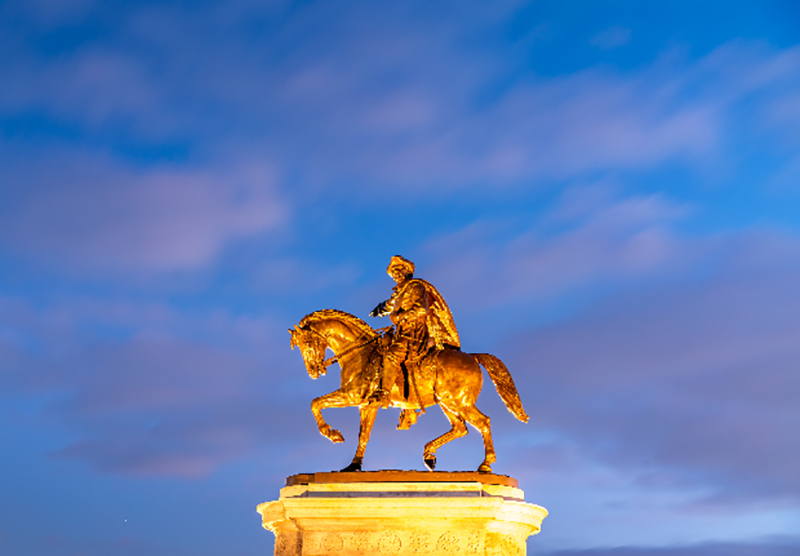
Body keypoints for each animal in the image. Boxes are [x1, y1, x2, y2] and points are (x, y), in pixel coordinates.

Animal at [290, 308, 528, 474]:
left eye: (307, 342)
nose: (313, 371)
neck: (360, 353)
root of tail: (473, 356)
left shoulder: (351, 395)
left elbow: (315, 403)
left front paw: (332, 434)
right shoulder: (367, 405)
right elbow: (363, 435)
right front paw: (354, 466)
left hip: (458, 402)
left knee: (483, 422)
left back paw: (485, 464)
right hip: (446, 403)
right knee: (460, 428)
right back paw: (429, 454)